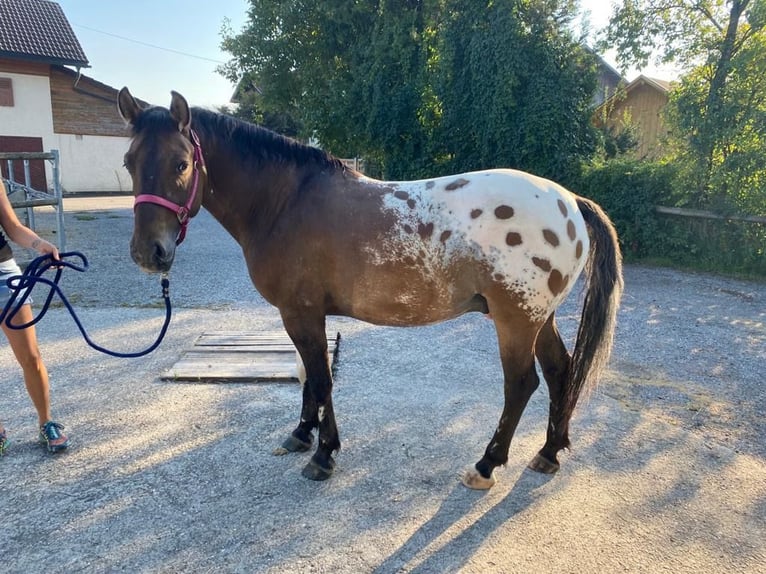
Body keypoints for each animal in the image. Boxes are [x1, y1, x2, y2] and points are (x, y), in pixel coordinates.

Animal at [117, 87, 623, 490]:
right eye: (128, 162)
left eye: (181, 163)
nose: (148, 253)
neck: (284, 203)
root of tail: (569, 201)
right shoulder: (299, 315)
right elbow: (309, 377)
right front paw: (302, 435)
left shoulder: (301, 312)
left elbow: (321, 379)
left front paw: (324, 455)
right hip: (540, 318)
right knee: (560, 371)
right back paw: (549, 452)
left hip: (516, 320)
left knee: (521, 384)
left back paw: (486, 465)